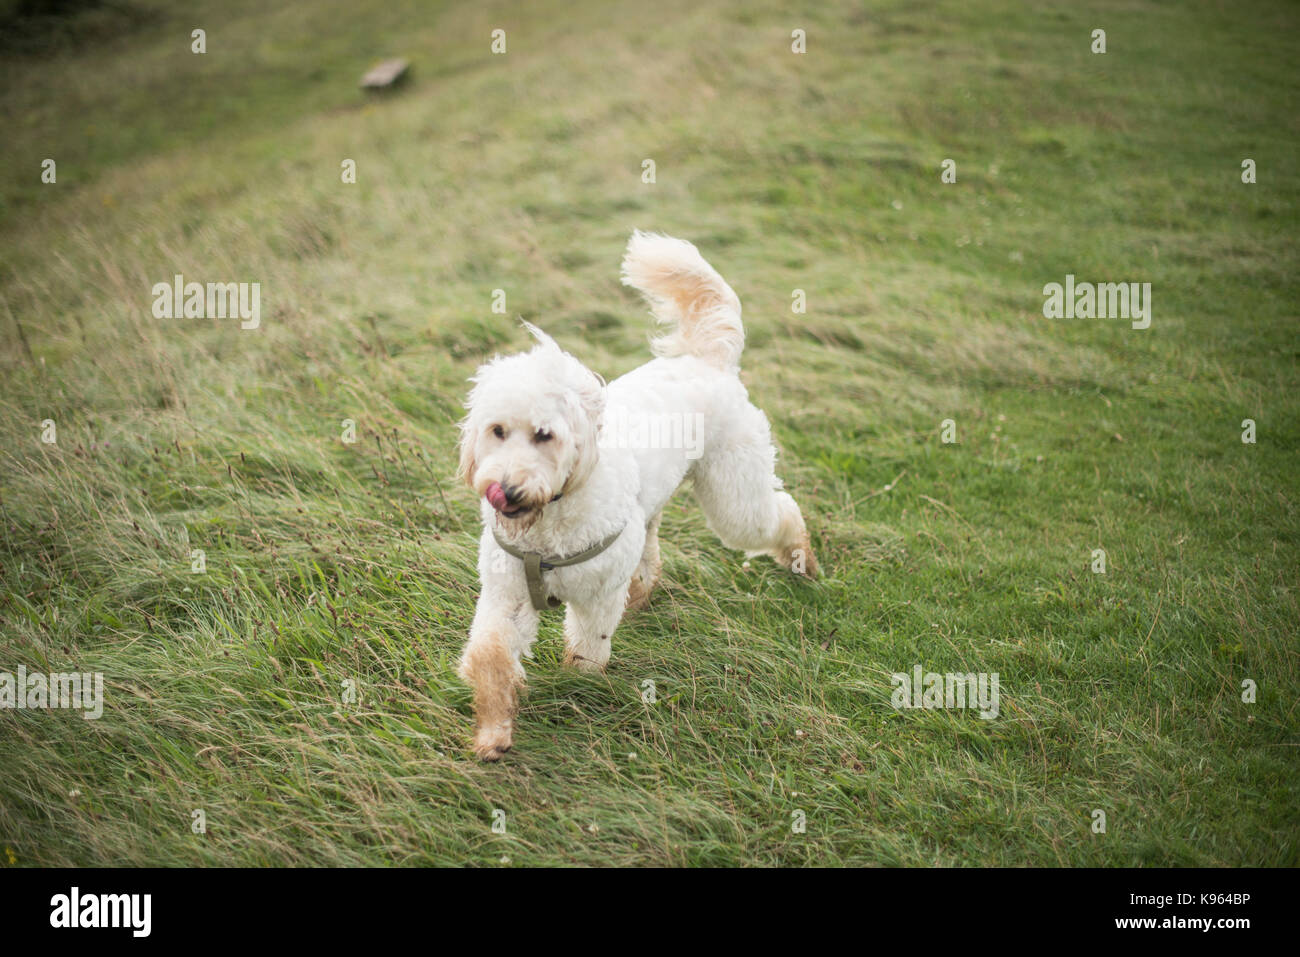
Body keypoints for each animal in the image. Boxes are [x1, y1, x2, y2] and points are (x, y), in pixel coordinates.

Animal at [457, 234, 816, 764]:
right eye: (497, 431)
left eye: (545, 435)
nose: (507, 491)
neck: (552, 520)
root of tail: (706, 359)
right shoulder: (508, 596)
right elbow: (490, 657)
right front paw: (493, 732)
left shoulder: (596, 599)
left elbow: (587, 652)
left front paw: (578, 689)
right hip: (651, 512)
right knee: (651, 547)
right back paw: (645, 592)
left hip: (735, 496)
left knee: (779, 512)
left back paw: (802, 559)